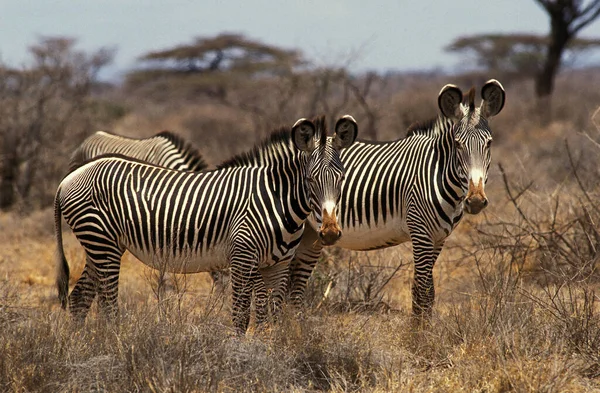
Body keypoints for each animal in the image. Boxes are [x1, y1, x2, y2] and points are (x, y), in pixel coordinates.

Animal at [288, 79, 504, 316]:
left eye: (489, 143)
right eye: (458, 144)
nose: (475, 201)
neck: (437, 172)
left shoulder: (438, 238)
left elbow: (425, 293)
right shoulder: (420, 233)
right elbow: (423, 292)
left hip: (310, 234)